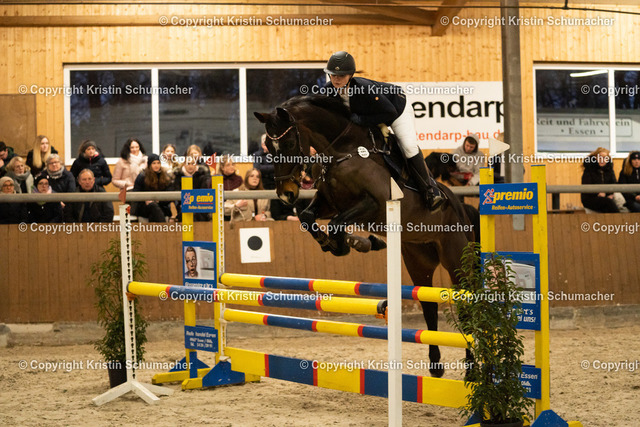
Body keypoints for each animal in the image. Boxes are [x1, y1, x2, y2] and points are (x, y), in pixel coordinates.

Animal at [254, 95, 478, 377]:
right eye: (268, 147)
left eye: (288, 143)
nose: (286, 194)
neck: (342, 151)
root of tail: (461, 206)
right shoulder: (329, 202)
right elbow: (307, 217)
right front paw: (338, 243)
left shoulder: (374, 205)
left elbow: (337, 224)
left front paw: (345, 244)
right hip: (418, 259)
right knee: (428, 304)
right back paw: (436, 366)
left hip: (456, 260)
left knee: (466, 307)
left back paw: (471, 369)